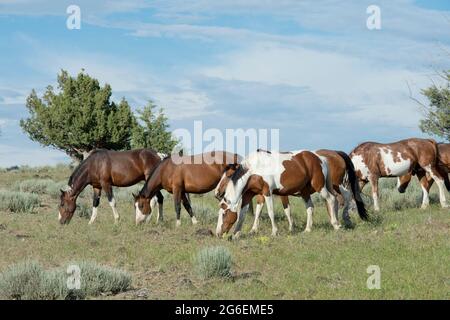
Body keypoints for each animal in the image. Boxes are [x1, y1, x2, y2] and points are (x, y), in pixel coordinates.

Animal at [214, 149, 366, 236]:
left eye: (224, 214)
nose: (218, 233)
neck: (253, 169)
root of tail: (320, 158)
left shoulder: (267, 192)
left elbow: (271, 212)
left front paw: (275, 231)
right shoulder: (249, 195)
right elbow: (244, 214)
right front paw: (238, 232)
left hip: (322, 186)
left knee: (333, 199)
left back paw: (336, 224)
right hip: (306, 191)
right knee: (311, 207)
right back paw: (308, 229)